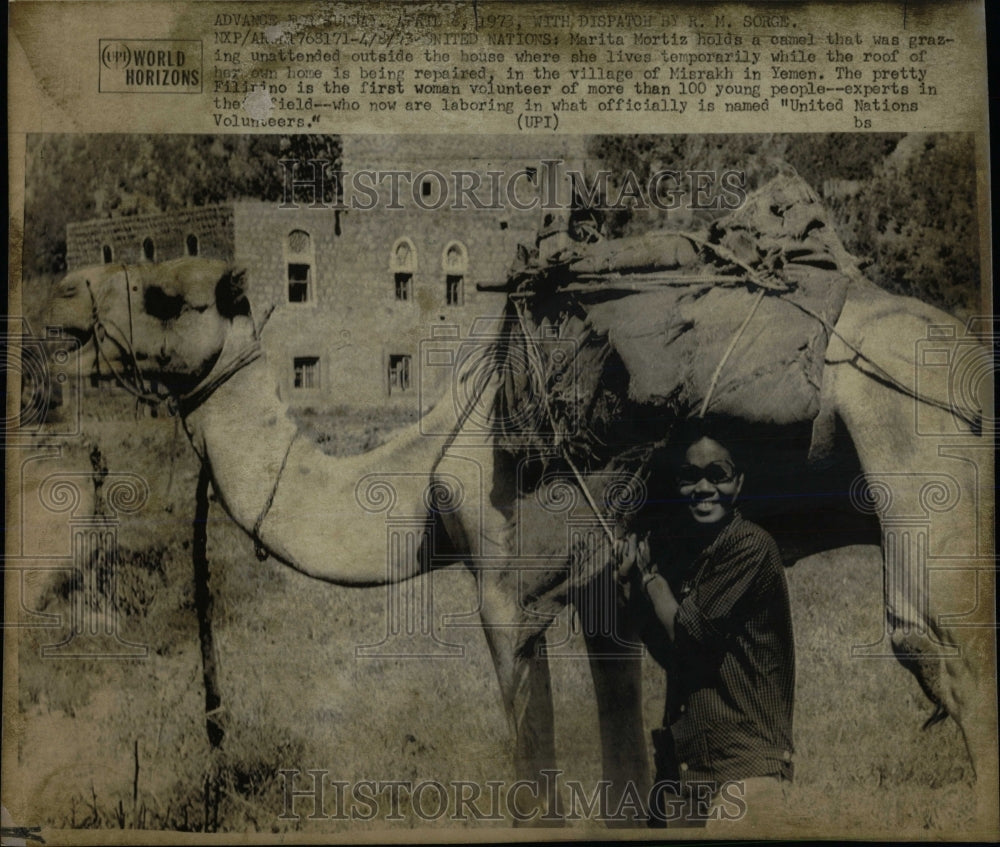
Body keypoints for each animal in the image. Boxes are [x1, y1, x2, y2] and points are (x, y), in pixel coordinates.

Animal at [45, 250, 992, 820]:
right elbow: (622, 738)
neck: (421, 475)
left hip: (921, 452)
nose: (62, 291)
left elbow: (534, 776)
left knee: (939, 645)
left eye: (165, 297)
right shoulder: (601, 577)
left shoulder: (505, 586)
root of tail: (969, 354)